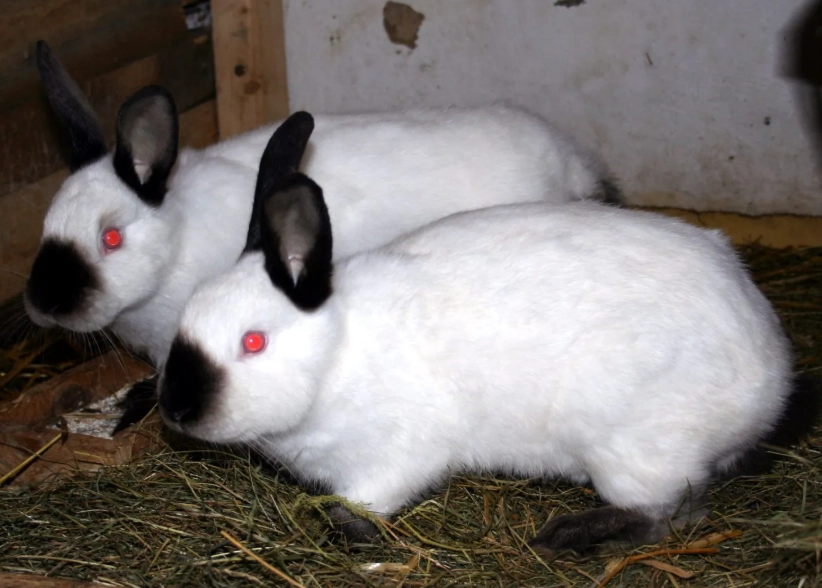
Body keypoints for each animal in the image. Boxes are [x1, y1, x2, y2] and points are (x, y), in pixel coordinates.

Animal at [157, 112, 811, 554]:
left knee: (668, 512)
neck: (335, 356)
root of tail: (772, 373)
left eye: (253, 342)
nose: (176, 409)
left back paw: (566, 535)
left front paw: (340, 528)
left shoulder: (396, 454)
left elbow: (370, 499)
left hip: (636, 446)